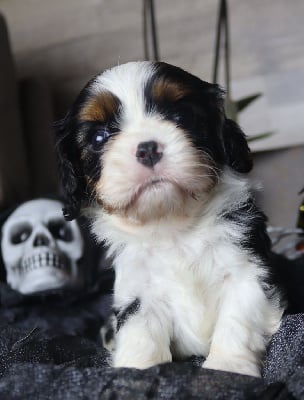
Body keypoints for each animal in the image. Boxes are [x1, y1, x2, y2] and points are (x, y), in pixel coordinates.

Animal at [54, 61, 282, 376]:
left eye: (180, 116)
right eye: (99, 138)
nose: (147, 148)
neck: (172, 223)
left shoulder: (246, 271)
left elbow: (238, 320)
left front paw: (228, 368)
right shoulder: (138, 292)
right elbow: (141, 333)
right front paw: (136, 370)